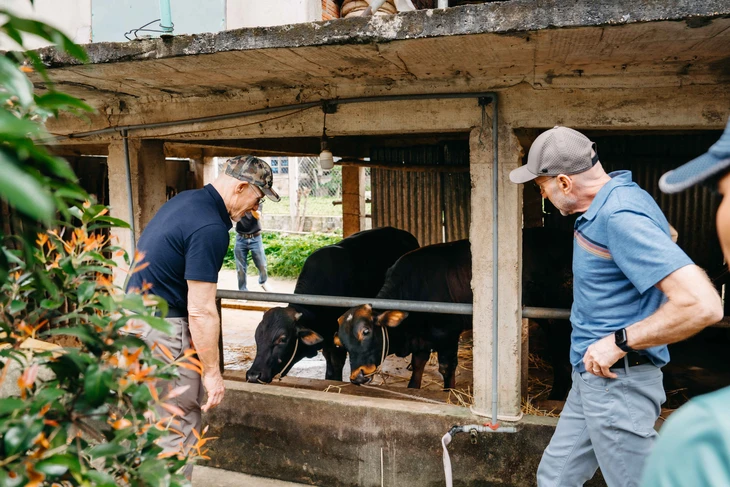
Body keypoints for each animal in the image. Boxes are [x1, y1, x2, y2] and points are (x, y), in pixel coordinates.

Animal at [336, 241, 472, 392]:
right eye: (341, 341)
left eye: (366, 331)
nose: (357, 376)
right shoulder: (421, 340)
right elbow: (418, 364)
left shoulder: (448, 335)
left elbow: (446, 369)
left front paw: (449, 392)